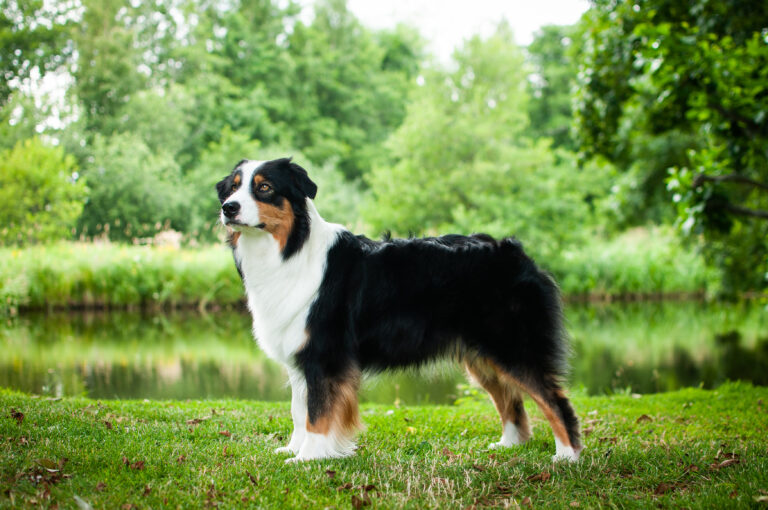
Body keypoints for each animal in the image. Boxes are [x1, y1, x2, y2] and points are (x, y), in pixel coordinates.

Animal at [216, 158, 584, 462]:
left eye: (265, 187)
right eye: (233, 187)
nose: (228, 208)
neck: (289, 248)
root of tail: (516, 251)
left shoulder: (325, 355)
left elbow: (318, 412)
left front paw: (308, 458)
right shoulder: (300, 356)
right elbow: (299, 410)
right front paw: (295, 449)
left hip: (513, 347)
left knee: (554, 400)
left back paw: (567, 456)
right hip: (483, 355)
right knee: (511, 401)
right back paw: (509, 445)